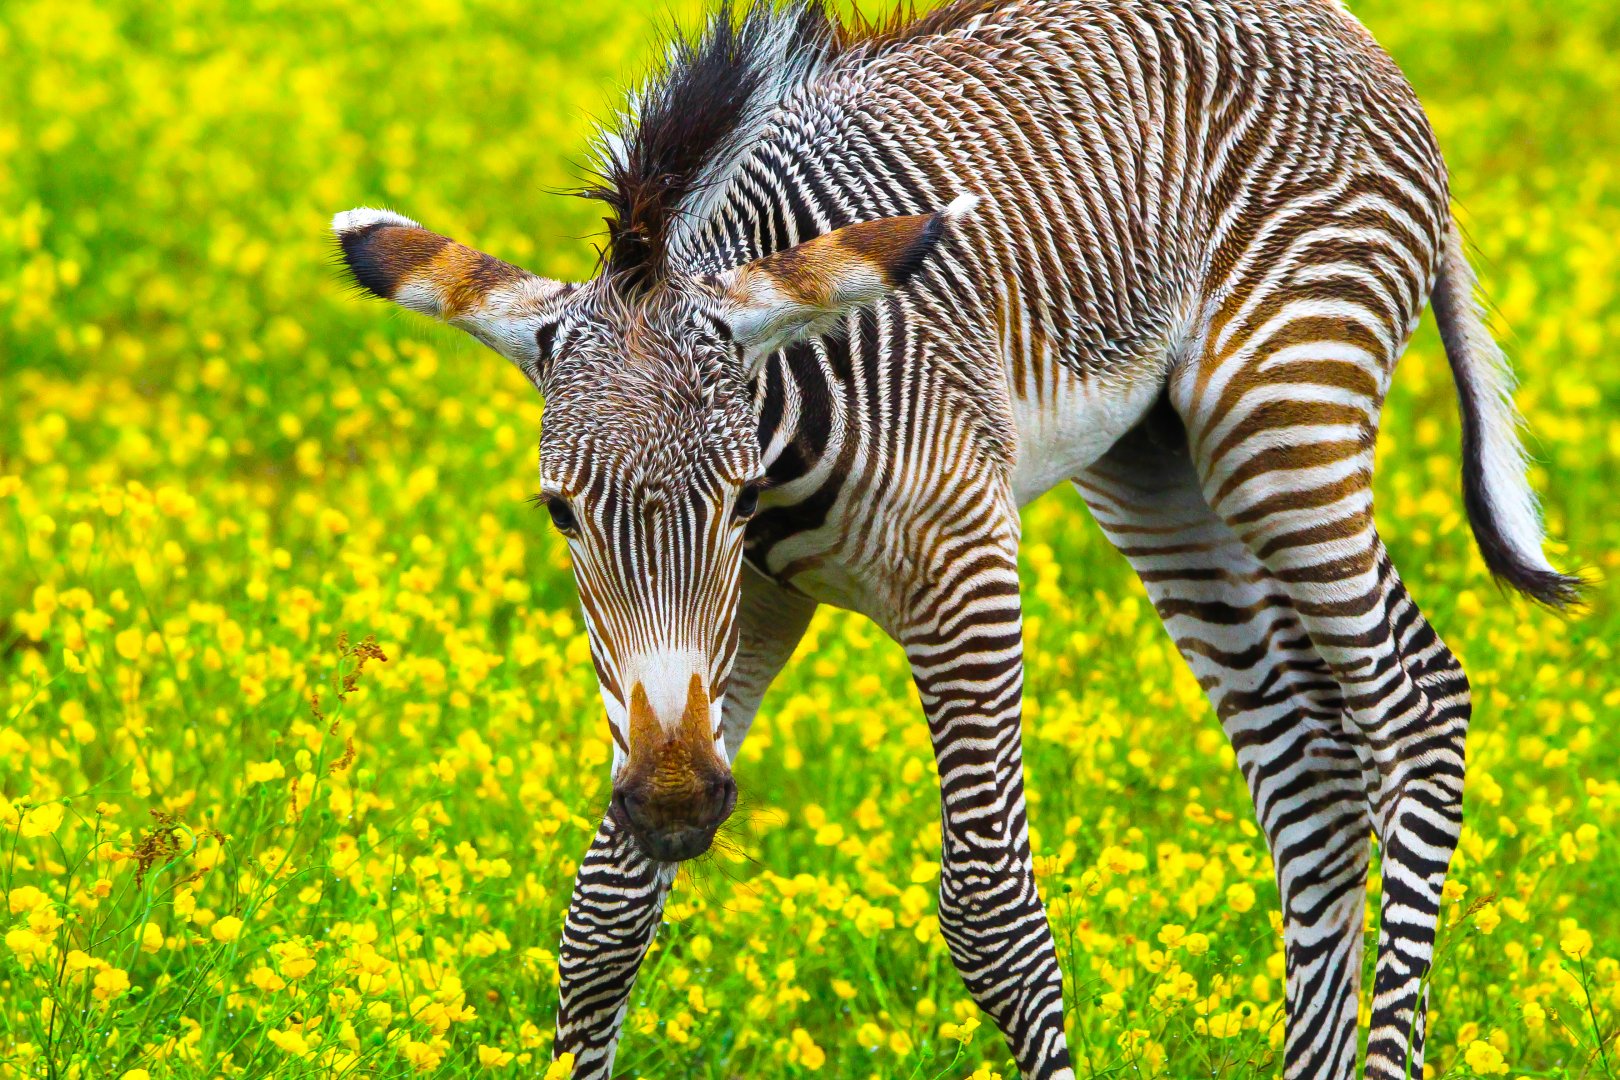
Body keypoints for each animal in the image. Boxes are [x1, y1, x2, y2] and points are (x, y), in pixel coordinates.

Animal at [330, 1, 1580, 1076]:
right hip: (1160, 466)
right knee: (1312, 762)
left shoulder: (959, 564)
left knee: (1417, 705)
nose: (680, 804)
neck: (793, 419)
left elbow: (990, 913)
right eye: (560, 511)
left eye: (735, 497)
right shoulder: (739, 620)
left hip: (1284, 406)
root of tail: (1339, 21)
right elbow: (603, 911)